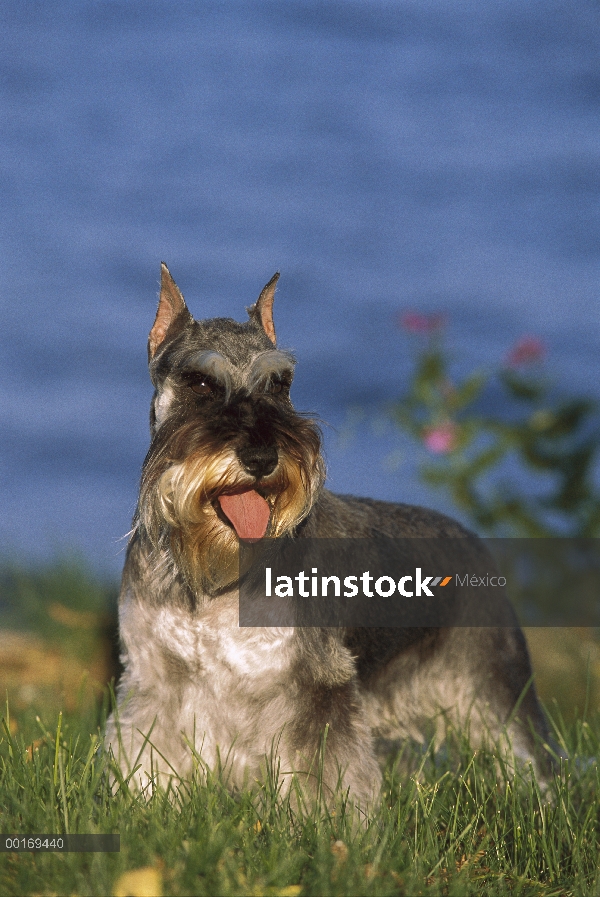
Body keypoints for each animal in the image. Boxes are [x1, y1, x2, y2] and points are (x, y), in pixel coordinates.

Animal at [106, 264, 552, 804]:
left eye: (281, 383)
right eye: (200, 382)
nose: (263, 457)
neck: (212, 576)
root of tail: (470, 538)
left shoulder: (316, 687)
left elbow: (325, 770)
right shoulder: (156, 682)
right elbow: (151, 751)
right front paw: (148, 802)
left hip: (496, 688)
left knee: (532, 757)